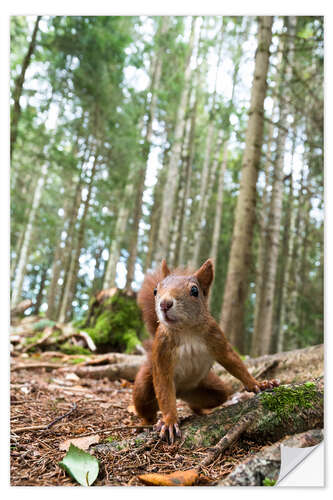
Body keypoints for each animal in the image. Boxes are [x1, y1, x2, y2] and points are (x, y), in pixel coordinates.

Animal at [132, 260, 278, 444]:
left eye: (194, 291)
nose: (164, 304)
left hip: (209, 388)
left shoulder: (216, 337)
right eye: (155, 291)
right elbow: (164, 389)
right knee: (148, 406)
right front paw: (169, 421)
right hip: (144, 385)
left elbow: (234, 362)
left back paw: (202, 412)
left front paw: (258, 384)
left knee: (206, 401)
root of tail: (180, 392)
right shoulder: (161, 352)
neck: (186, 331)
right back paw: (148, 423)